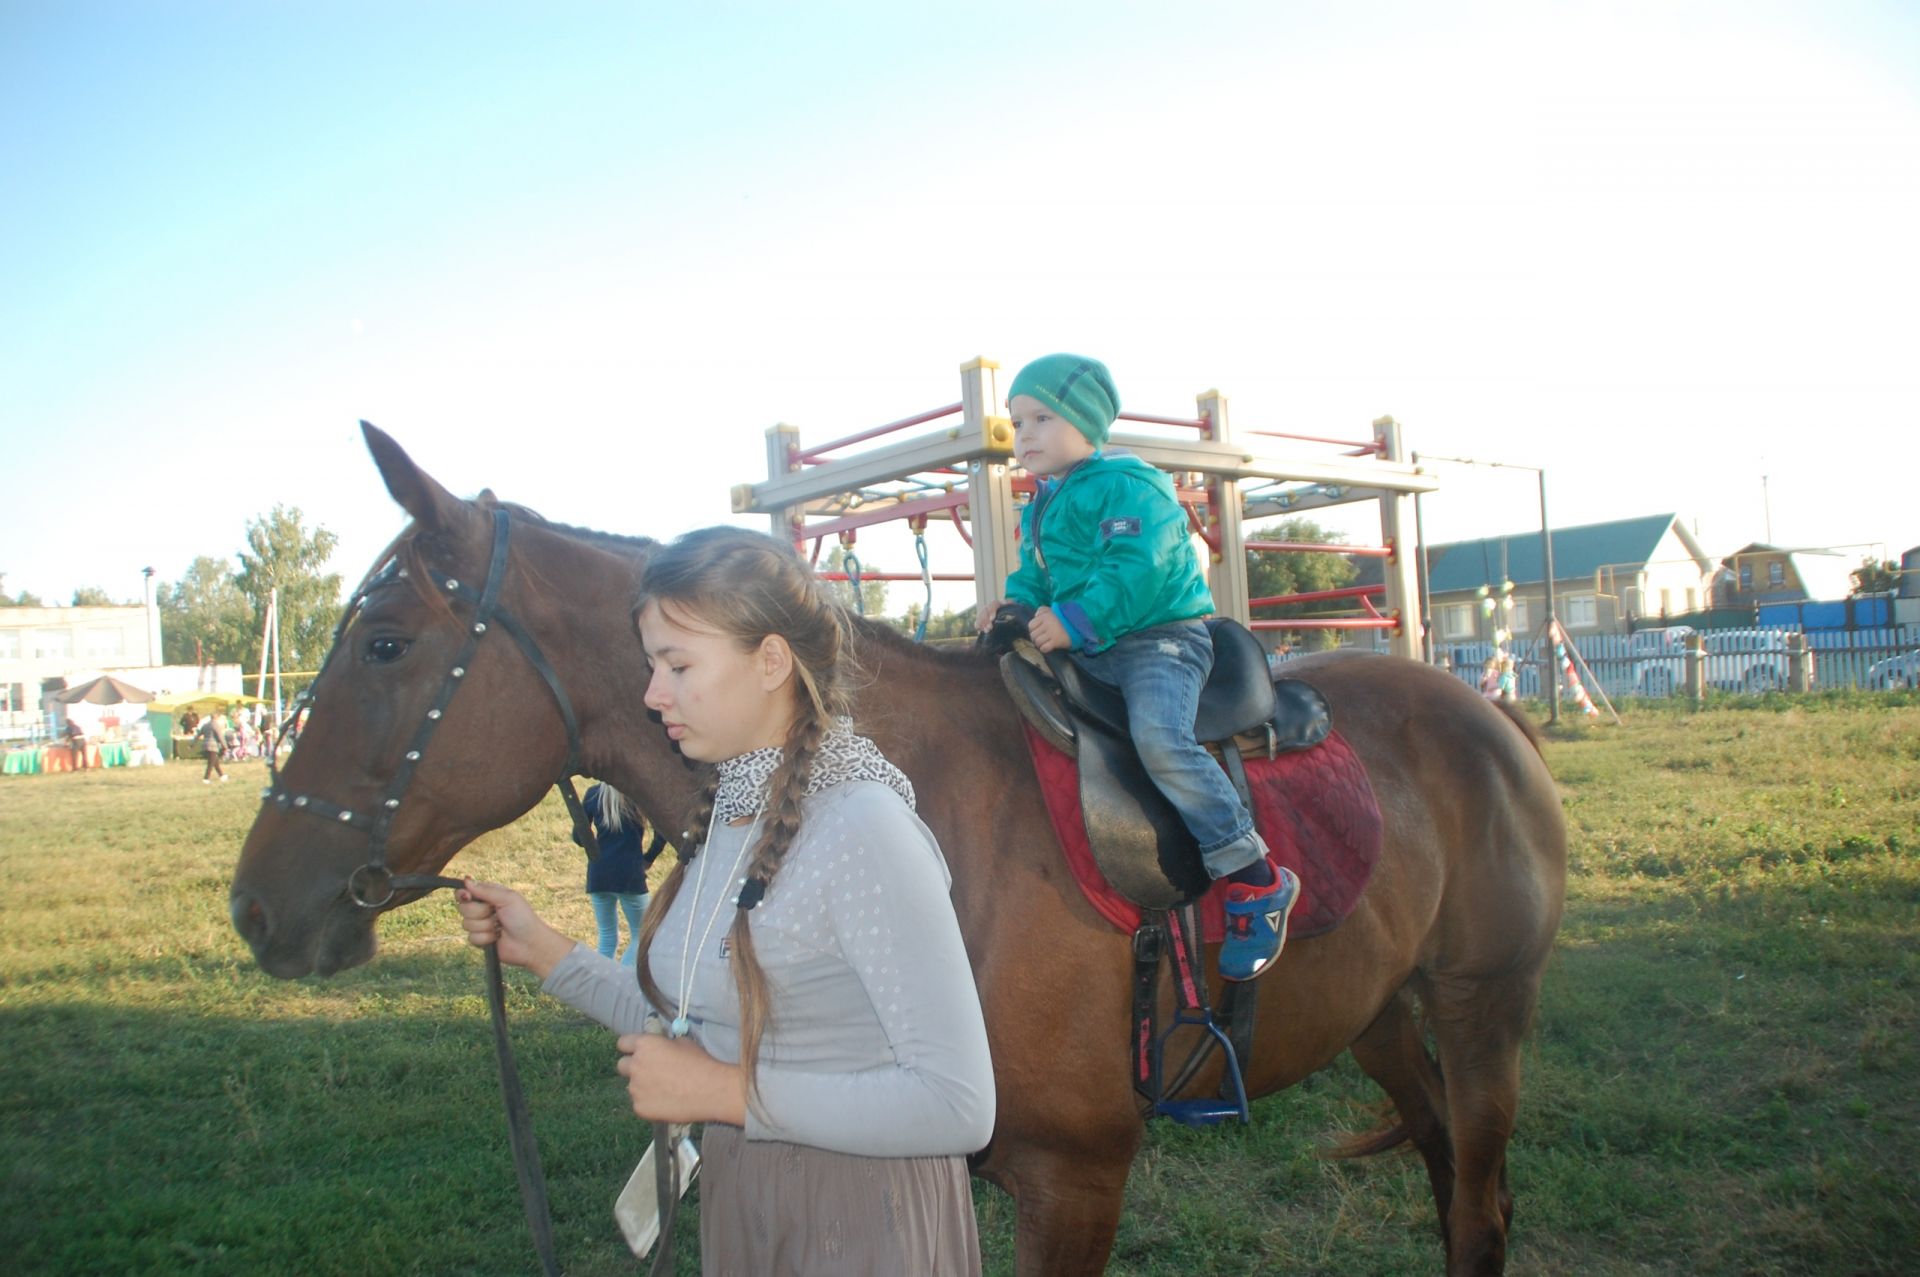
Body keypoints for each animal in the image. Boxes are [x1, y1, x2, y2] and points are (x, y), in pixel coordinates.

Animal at [232, 426, 1566, 1267]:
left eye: (387, 643)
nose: (257, 908)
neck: (932, 814)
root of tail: (1486, 711)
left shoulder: (1078, 1177)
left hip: (1482, 1007)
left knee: (1481, 1202)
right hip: (1376, 1010)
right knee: (1443, 1164)